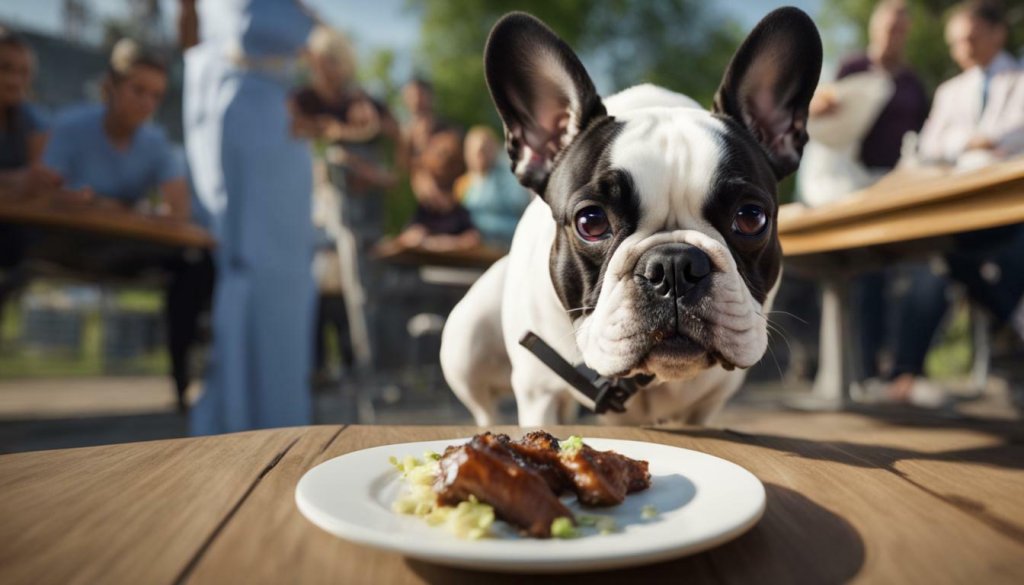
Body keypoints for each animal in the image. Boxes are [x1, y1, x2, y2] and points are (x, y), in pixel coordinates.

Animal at [440, 8, 823, 426]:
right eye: (590, 222)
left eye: (751, 218)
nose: (674, 265)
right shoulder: (539, 394)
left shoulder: (703, 409)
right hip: (464, 344)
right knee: (484, 410)